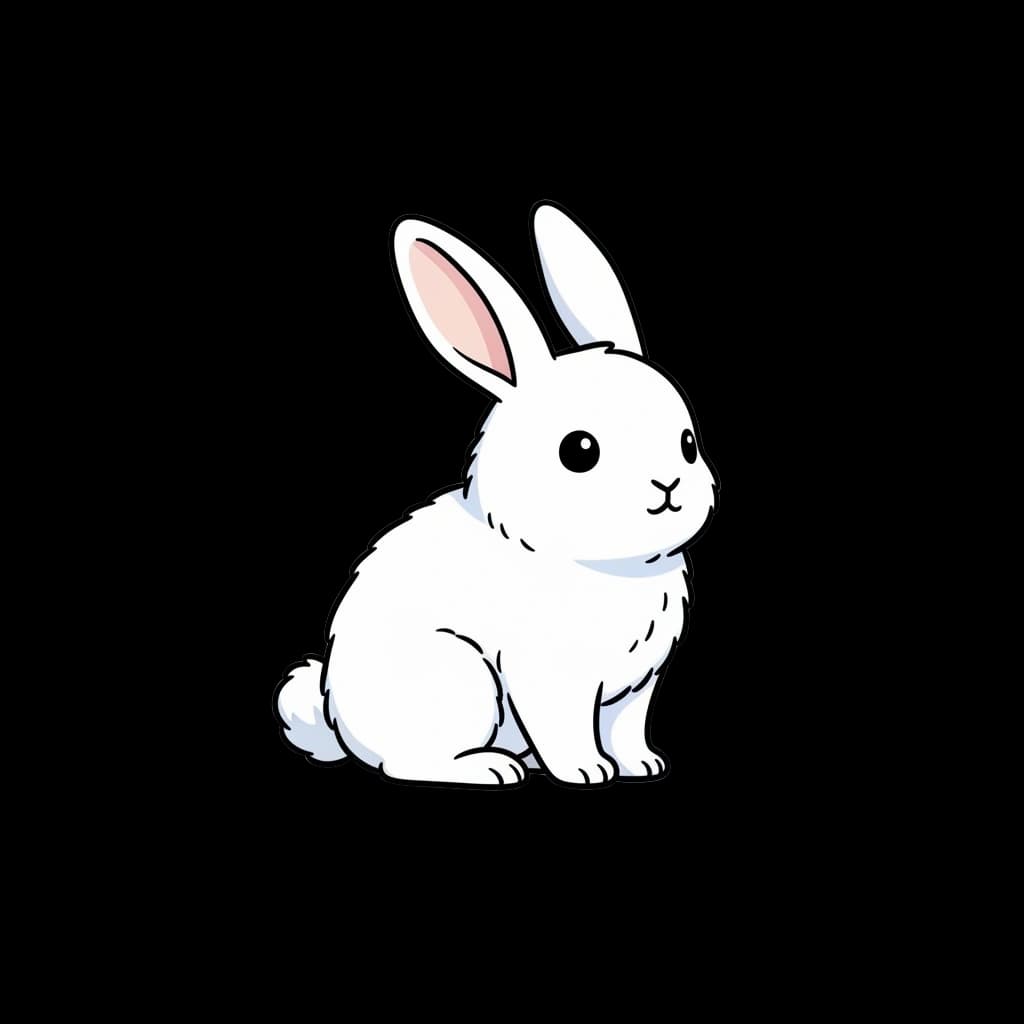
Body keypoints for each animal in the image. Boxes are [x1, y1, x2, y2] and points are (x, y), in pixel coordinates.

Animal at [276, 202, 718, 786]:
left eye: (688, 444)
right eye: (580, 450)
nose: (668, 487)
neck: (601, 564)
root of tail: (339, 725)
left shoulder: (635, 689)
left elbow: (625, 730)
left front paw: (642, 765)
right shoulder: (550, 680)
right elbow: (566, 731)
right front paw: (587, 772)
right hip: (460, 680)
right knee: (411, 763)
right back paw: (493, 768)